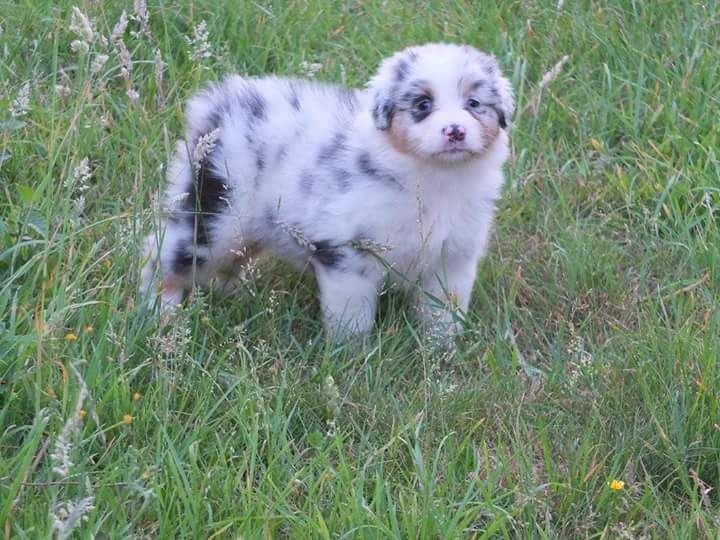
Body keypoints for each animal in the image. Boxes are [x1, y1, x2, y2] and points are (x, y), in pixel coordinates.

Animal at [141, 43, 513, 341]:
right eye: (423, 104)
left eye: (474, 103)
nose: (455, 131)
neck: (435, 178)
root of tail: (218, 104)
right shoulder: (348, 253)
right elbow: (353, 313)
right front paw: (352, 356)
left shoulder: (454, 257)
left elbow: (443, 311)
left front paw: (441, 351)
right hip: (216, 216)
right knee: (160, 255)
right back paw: (159, 313)